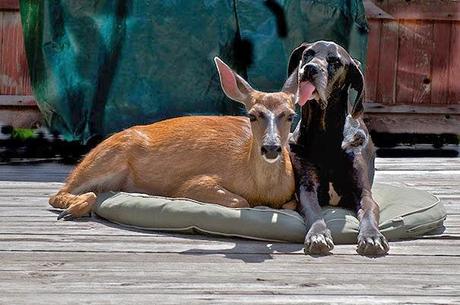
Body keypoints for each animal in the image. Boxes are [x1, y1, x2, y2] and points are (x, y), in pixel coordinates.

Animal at [51, 57, 302, 218]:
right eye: (252, 115)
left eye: (291, 115)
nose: (271, 147)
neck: (263, 190)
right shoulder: (192, 185)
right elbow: (240, 200)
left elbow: (290, 205)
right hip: (107, 156)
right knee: (58, 193)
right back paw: (73, 210)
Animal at [288, 40, 388, 254]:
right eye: (308, 54)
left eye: (335, 61)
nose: (310, 69)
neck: (324, 134)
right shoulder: (307, 188)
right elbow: (314, 211)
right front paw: (318, 234)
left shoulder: (363, 192)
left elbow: (368, 211)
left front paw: (371, 236)